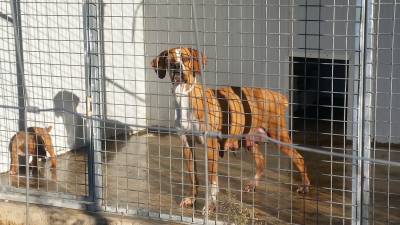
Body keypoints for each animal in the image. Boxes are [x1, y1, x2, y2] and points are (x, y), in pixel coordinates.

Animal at [150, 47, 310, 213]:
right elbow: (193, 177)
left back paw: (304, 186)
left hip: (279, 137)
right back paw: (253, 184)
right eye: (169, 61)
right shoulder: (187, 145)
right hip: (248, 139)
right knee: (261, 160)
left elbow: (212, 181)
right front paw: (191, 199)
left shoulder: (211, 147)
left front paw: (210, 205)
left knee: (299, 158)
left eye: (186, 58)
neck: (185, 96)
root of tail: (276, 95)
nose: (176, 66)